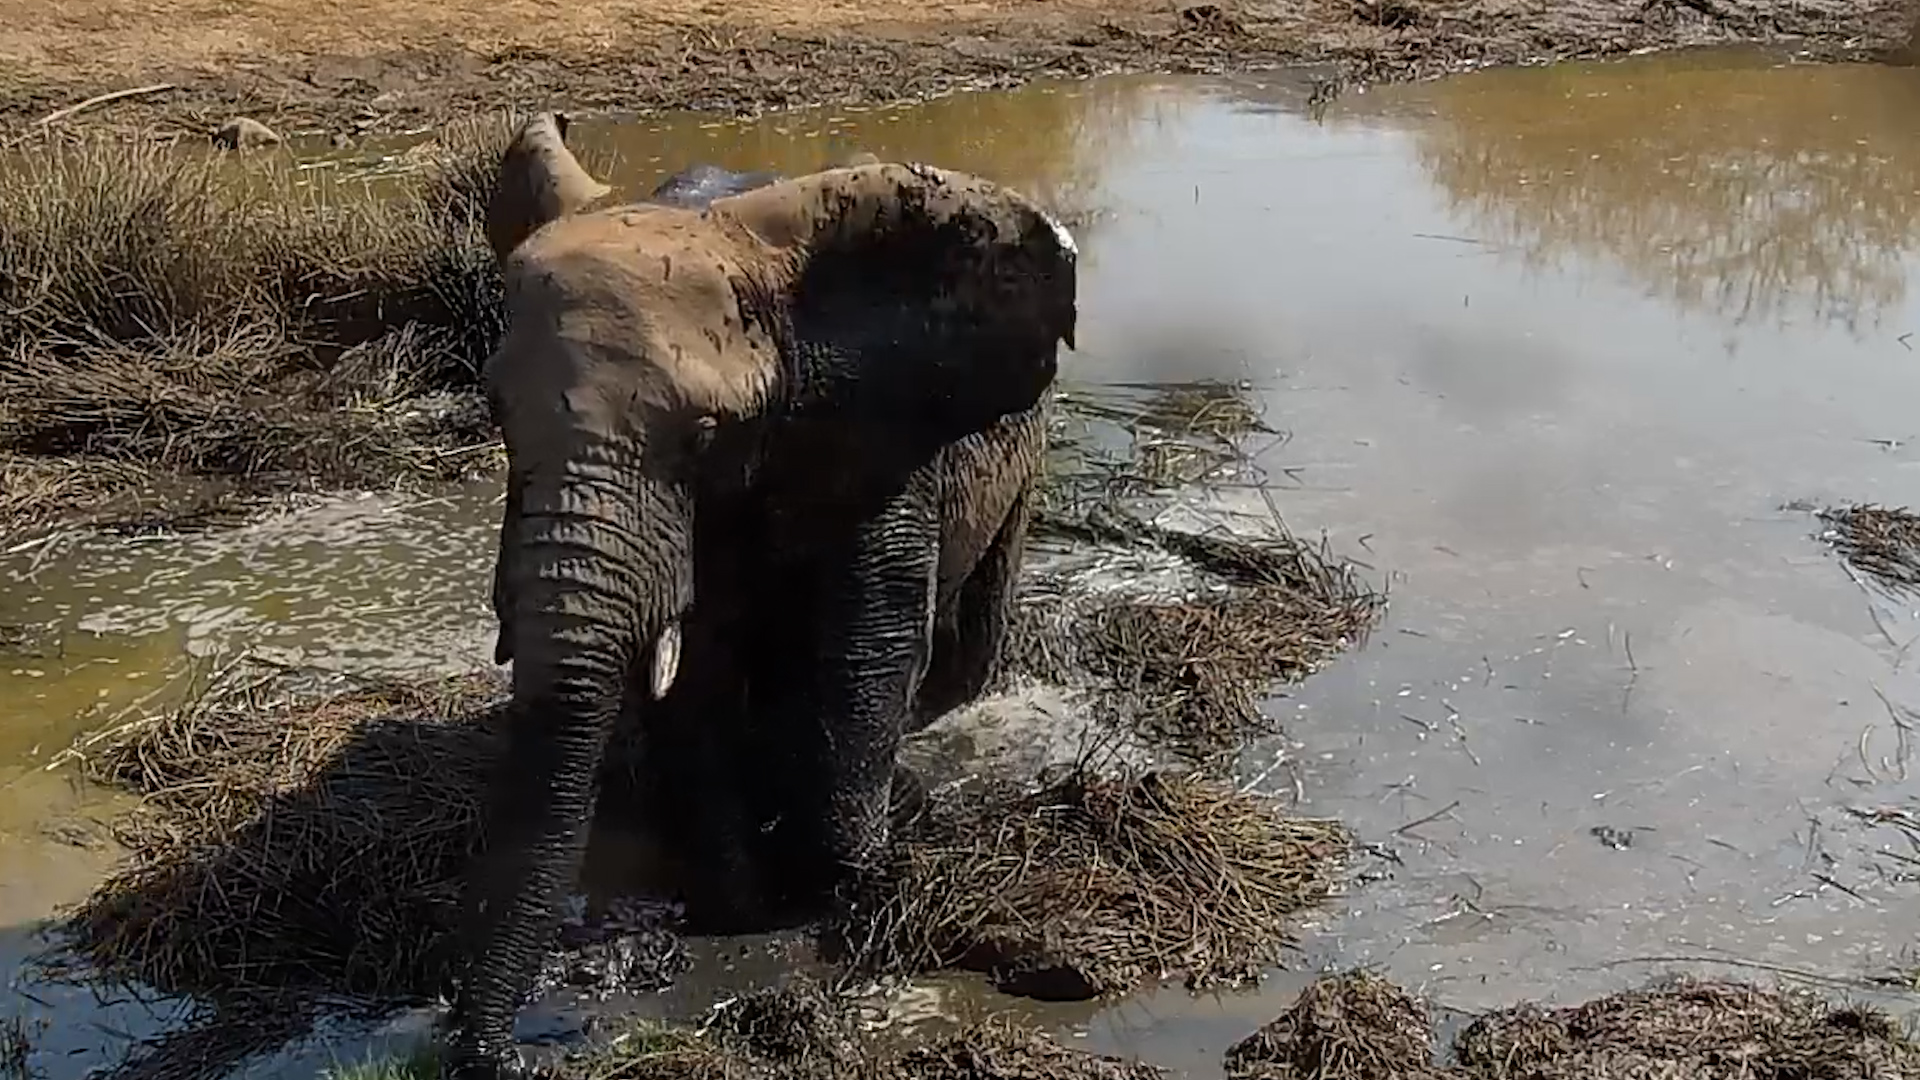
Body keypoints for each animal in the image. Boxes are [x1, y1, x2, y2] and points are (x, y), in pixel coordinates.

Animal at [446, 114, 1077, 1078]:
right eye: (496, 414)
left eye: (706, 434)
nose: (503, 1056)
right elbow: (694, 666)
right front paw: (732, 904)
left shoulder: (880, 432)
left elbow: (871, 641)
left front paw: (836, 888)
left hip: (1027, 458)